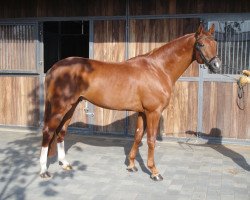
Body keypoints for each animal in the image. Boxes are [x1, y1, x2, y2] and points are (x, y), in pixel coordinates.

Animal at [38, 23, 221, 181]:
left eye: (215, 43)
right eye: (200, 44)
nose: (216, 66)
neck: (158, 69)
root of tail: (54, 68)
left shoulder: (142, 112)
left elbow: (138, 136)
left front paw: (131, 165)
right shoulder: (153, 112)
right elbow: (151, 140)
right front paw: (154, 172)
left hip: (71, 106)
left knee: (61, 132)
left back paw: (65, 164)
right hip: (59, 107)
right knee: (48, 132)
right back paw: (43, 171)